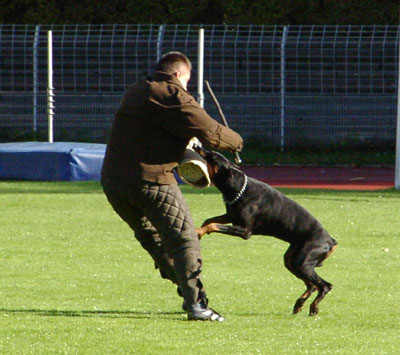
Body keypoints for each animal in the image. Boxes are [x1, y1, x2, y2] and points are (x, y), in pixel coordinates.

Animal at [194, 146, 338, 318]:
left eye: (211, 156)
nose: (197, 146)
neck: (237, 186)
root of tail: (331, 241)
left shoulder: (245, 231)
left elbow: (213, 225)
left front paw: (198, 232)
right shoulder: (231, 216)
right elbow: (209, 221)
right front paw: (199, 231)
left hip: (303, 261)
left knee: (324, 286)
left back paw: (313, 307)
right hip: (293, 260)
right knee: (311, 285)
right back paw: (299, 304)